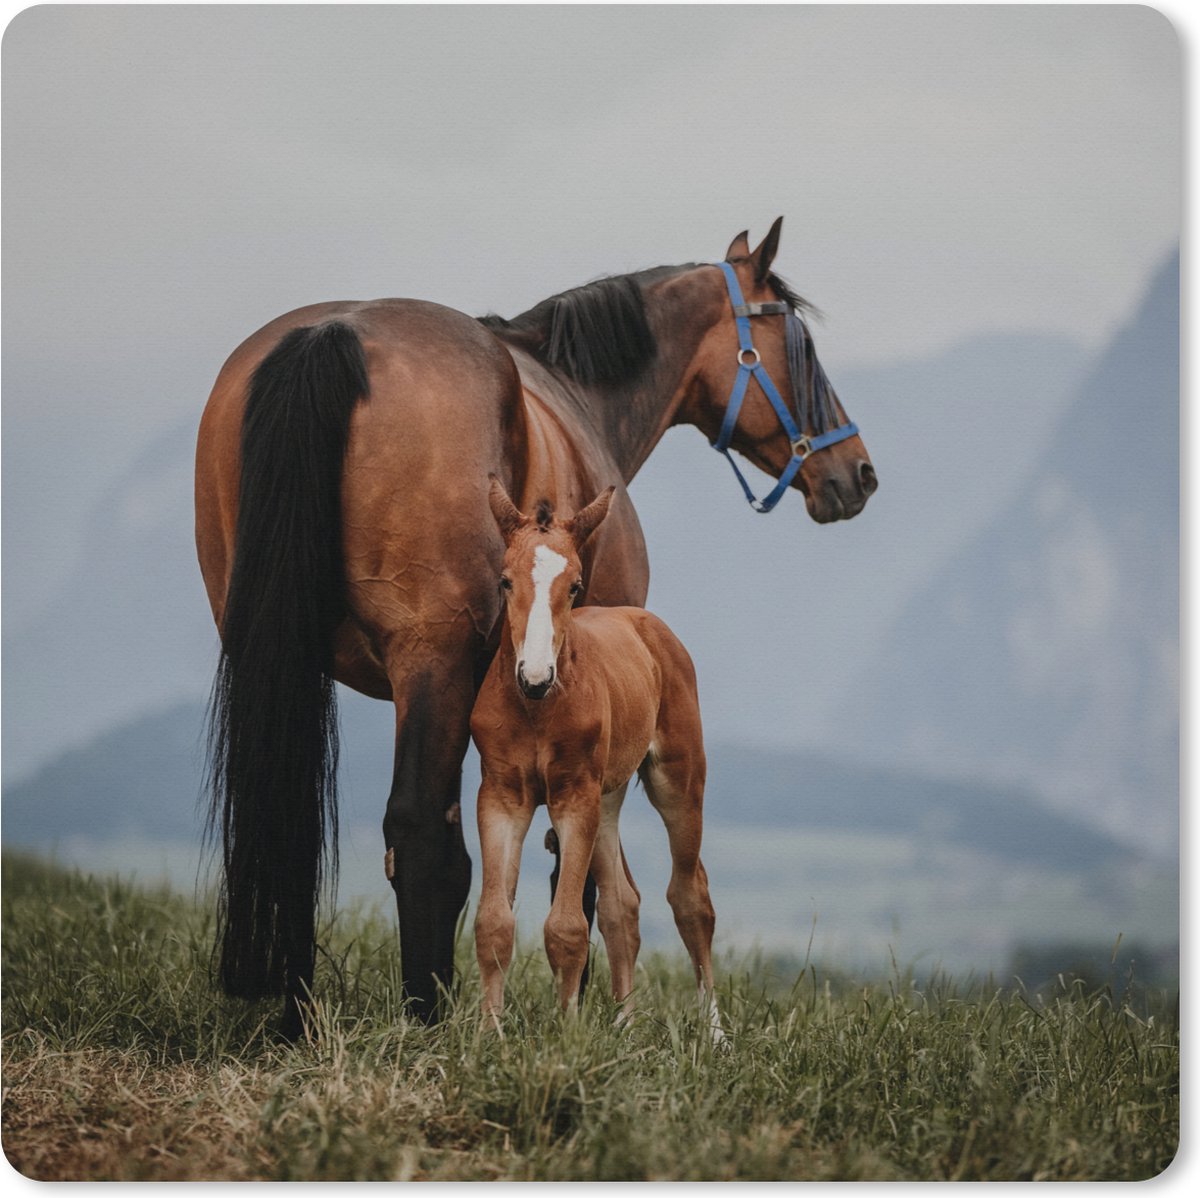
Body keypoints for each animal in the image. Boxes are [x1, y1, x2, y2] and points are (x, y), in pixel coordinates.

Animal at [472, 478, 717, 1031]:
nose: (534, 676)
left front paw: (567, 1034)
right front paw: (488, 1034)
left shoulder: (572, 796)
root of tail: (646, 622)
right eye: (504, 581)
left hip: (677, 781)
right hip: (607, 798)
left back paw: (716, 1033)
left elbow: (566, 927)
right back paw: (624, 1025)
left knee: (691, 896)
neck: (536, 710)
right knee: (621, 904)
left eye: (575, 586)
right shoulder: (501, 797)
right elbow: (494, 922)